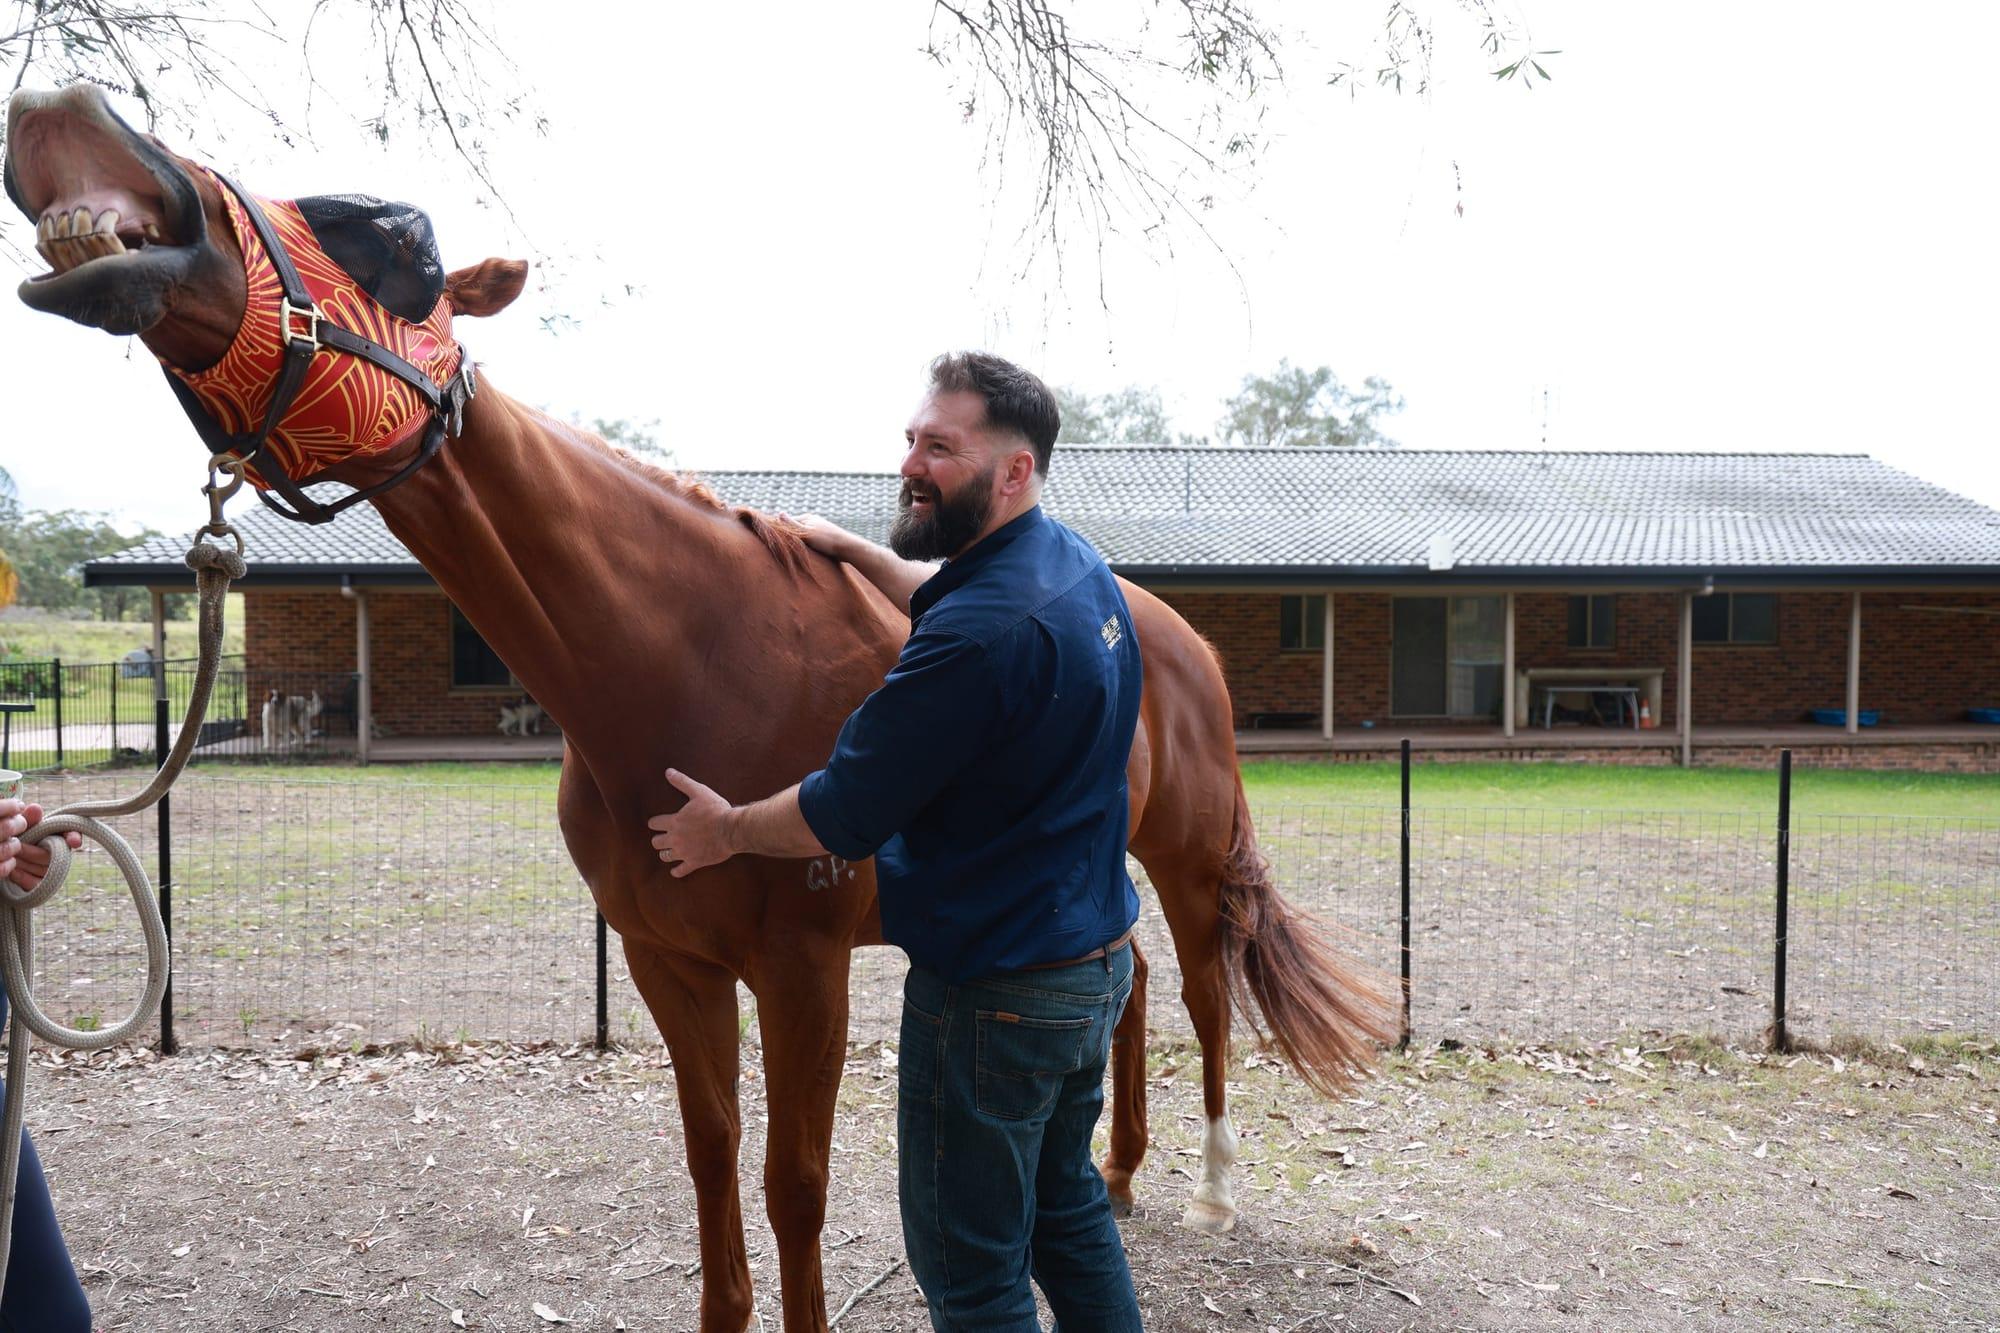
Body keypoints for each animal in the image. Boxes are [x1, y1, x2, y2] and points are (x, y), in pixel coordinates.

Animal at [4, 83, 1390, 1332]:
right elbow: (713, 1163)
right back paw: (1118, 1172)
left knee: (1204, 989)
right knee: (1131, 979)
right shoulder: (668, 962)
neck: (686, 662)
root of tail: (1167, 630)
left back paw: (1208, 1188)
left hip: (1189, 855)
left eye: (404, 246)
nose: (75, 123)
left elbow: (793, 1185)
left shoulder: (803, 969)